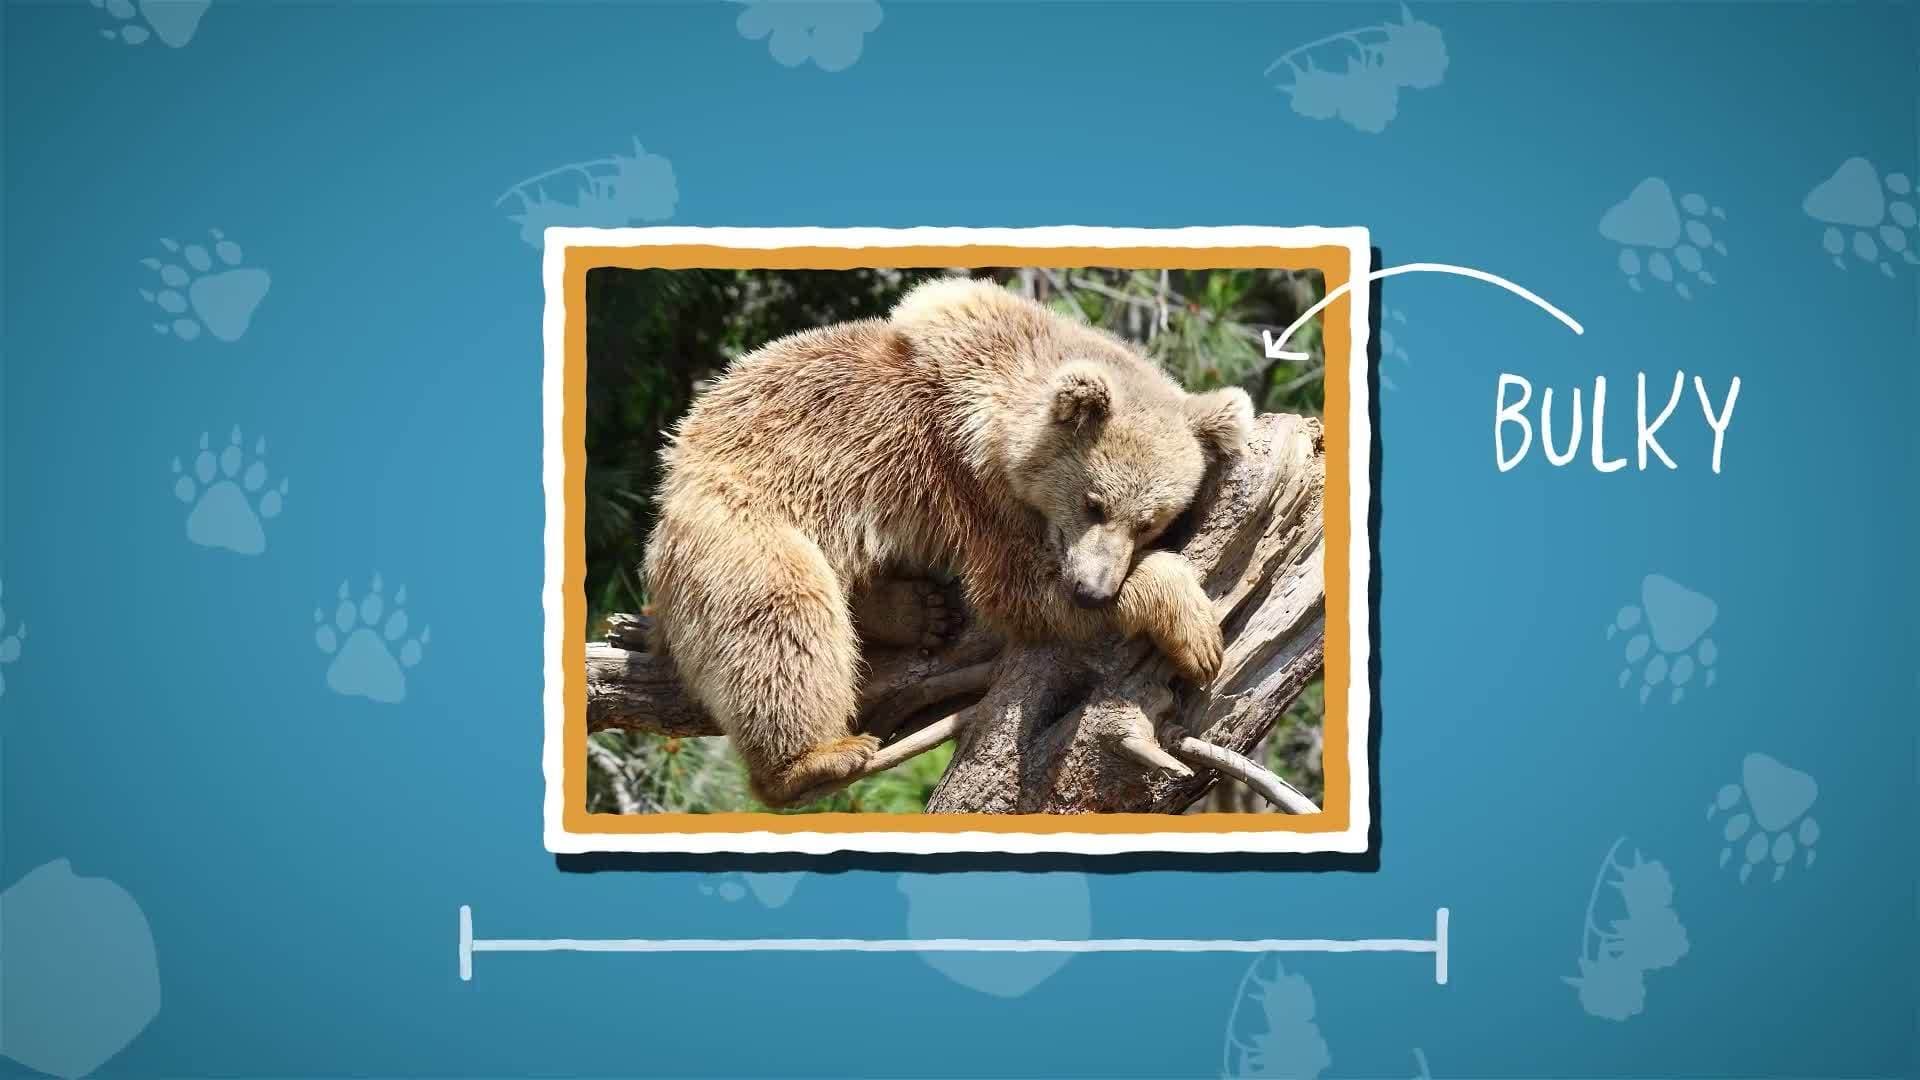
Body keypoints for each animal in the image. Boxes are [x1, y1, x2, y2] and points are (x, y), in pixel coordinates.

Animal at [642, 277, 1254, 808]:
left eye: (1151, 521)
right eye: (1094, 503)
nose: (1093, 589)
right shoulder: (966, 487)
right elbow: (1017, 590)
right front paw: (1193, 628)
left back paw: (917, 611)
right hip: (741, 521)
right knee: (780, 613)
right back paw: (817, 757)